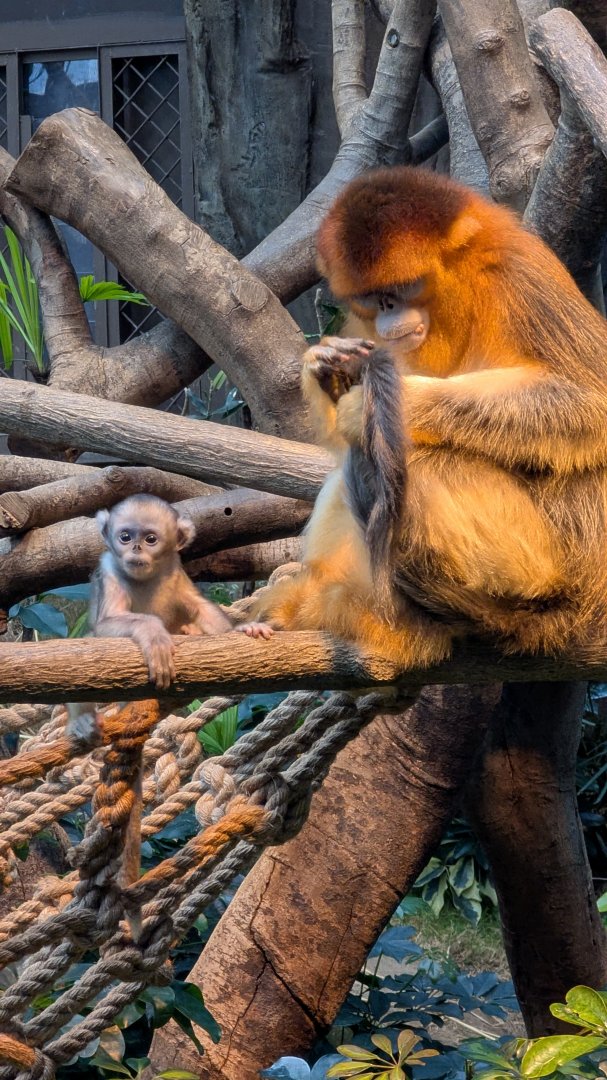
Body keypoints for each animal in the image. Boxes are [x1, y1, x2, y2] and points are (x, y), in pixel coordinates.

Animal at [68, 494, 272, 932]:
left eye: (150, 538)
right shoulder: (108, 570)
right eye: (124, 536)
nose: (134, 551)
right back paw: (80, 718)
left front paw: (242, 631)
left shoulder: (177, 574)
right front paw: (152, 633)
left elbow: (202, 611)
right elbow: (104, 627)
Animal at [251, 164, 607, 672]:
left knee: (415, 460)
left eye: (400, 290)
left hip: (562, 562)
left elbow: (591, 406)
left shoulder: (516, 274)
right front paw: (324, 368)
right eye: (371, 297)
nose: (387, 308)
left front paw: (392, 402)